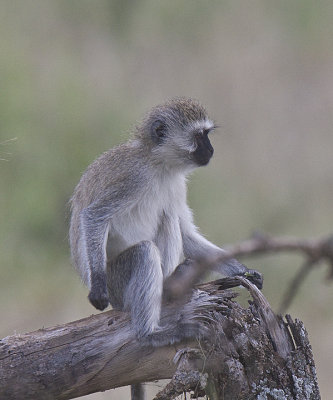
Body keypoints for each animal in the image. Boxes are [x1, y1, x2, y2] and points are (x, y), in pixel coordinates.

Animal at [70, 97, 262, 344]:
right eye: (199, 136)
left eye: (206, 134)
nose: (211, 149)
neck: (159, 163)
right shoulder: (135, 177)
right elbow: (94, 216)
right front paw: (97, 286)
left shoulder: (177, 185)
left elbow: (187, 234)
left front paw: (243, 271)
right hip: (118, 287)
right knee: (145, 252)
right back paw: (150, 332)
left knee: (168, 216)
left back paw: (173, 283)